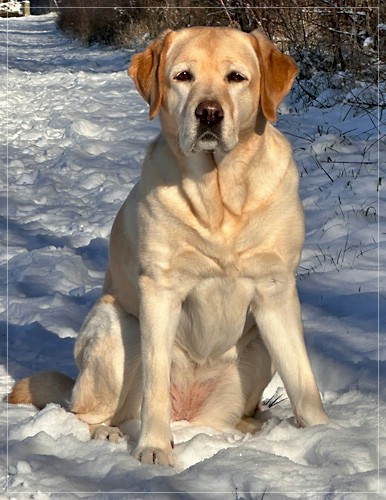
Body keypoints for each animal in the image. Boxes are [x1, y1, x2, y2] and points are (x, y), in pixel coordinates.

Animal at [9, 26, 328, 464]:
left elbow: (303, 382)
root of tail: (188, 411)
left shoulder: (275, 291)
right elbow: (155, 383)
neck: (219, 194)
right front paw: (155, 448)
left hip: (255, 350)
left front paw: (327, 436)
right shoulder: (160, 290)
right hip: (117, 327)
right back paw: (108, 433)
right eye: (183, 76)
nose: (208, 113)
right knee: (85, 413)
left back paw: (254, 426)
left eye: (236, 77)